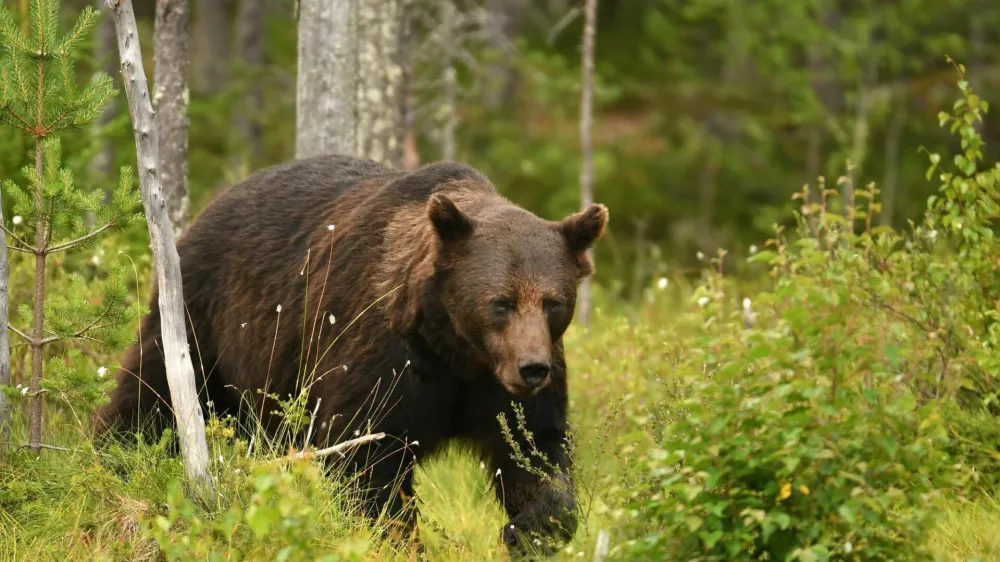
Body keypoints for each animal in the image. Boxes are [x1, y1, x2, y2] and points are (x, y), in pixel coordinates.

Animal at [93, 154, 608, 557]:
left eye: (553, 302)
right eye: (500, 302)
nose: (532, 368)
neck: (453, 347)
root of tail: (210, 205)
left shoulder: (498, 386)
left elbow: (534, 448)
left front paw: (529, 528)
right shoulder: (382, 352)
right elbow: (365, 455)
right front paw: (397, 538)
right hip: (205, 317)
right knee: (150, 394)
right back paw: (115, 459)